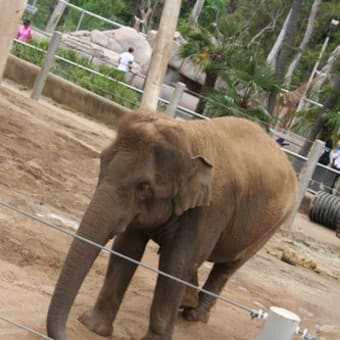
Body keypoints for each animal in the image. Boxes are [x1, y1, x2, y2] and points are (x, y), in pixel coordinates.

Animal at [47, 110, 298, 338]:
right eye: (102, 162)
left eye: (143, 186)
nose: (67, 331)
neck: (189, 138)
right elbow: (127, 248)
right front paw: (94, 327)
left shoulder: (211, 209)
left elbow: (175, 264)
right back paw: (187, 303)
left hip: (271, 226)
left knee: (227, 266)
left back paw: (195, 315)